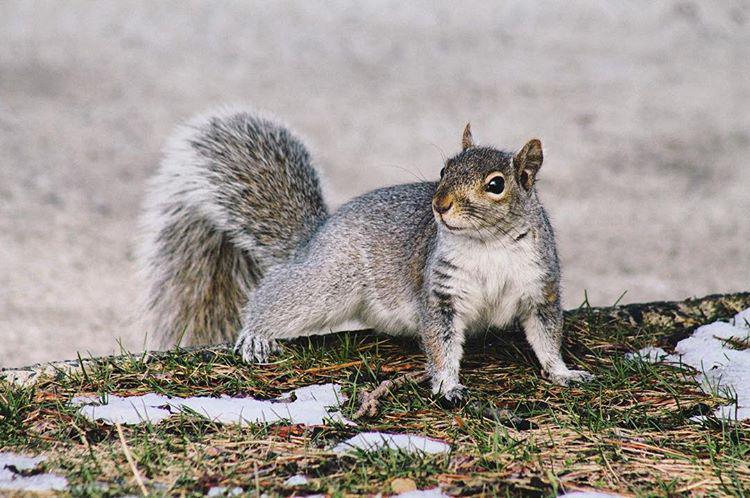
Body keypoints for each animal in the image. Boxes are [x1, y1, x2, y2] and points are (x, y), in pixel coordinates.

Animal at [140, 108, 593, 404]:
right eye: (444, 169)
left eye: (496, 184)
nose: (439, 204)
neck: (488, 245)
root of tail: (316, 236)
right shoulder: (439, 293)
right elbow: (441, 343)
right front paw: (447, 385)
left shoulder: (540, 288)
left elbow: (547, 337)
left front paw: (564, 372)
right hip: (329, 281)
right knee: (278, 292)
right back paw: (255, 335)